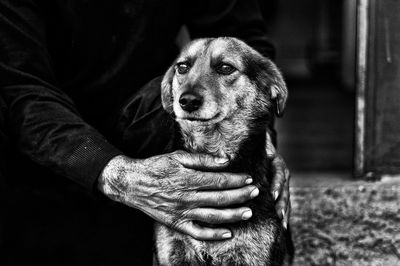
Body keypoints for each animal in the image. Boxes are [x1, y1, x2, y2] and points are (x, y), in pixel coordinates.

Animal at [156, 37, 290, 266]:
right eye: (182, 67)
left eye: (226, 68)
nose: (187, 100)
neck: (212, 148)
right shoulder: (173, 249)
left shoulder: (251, 254)